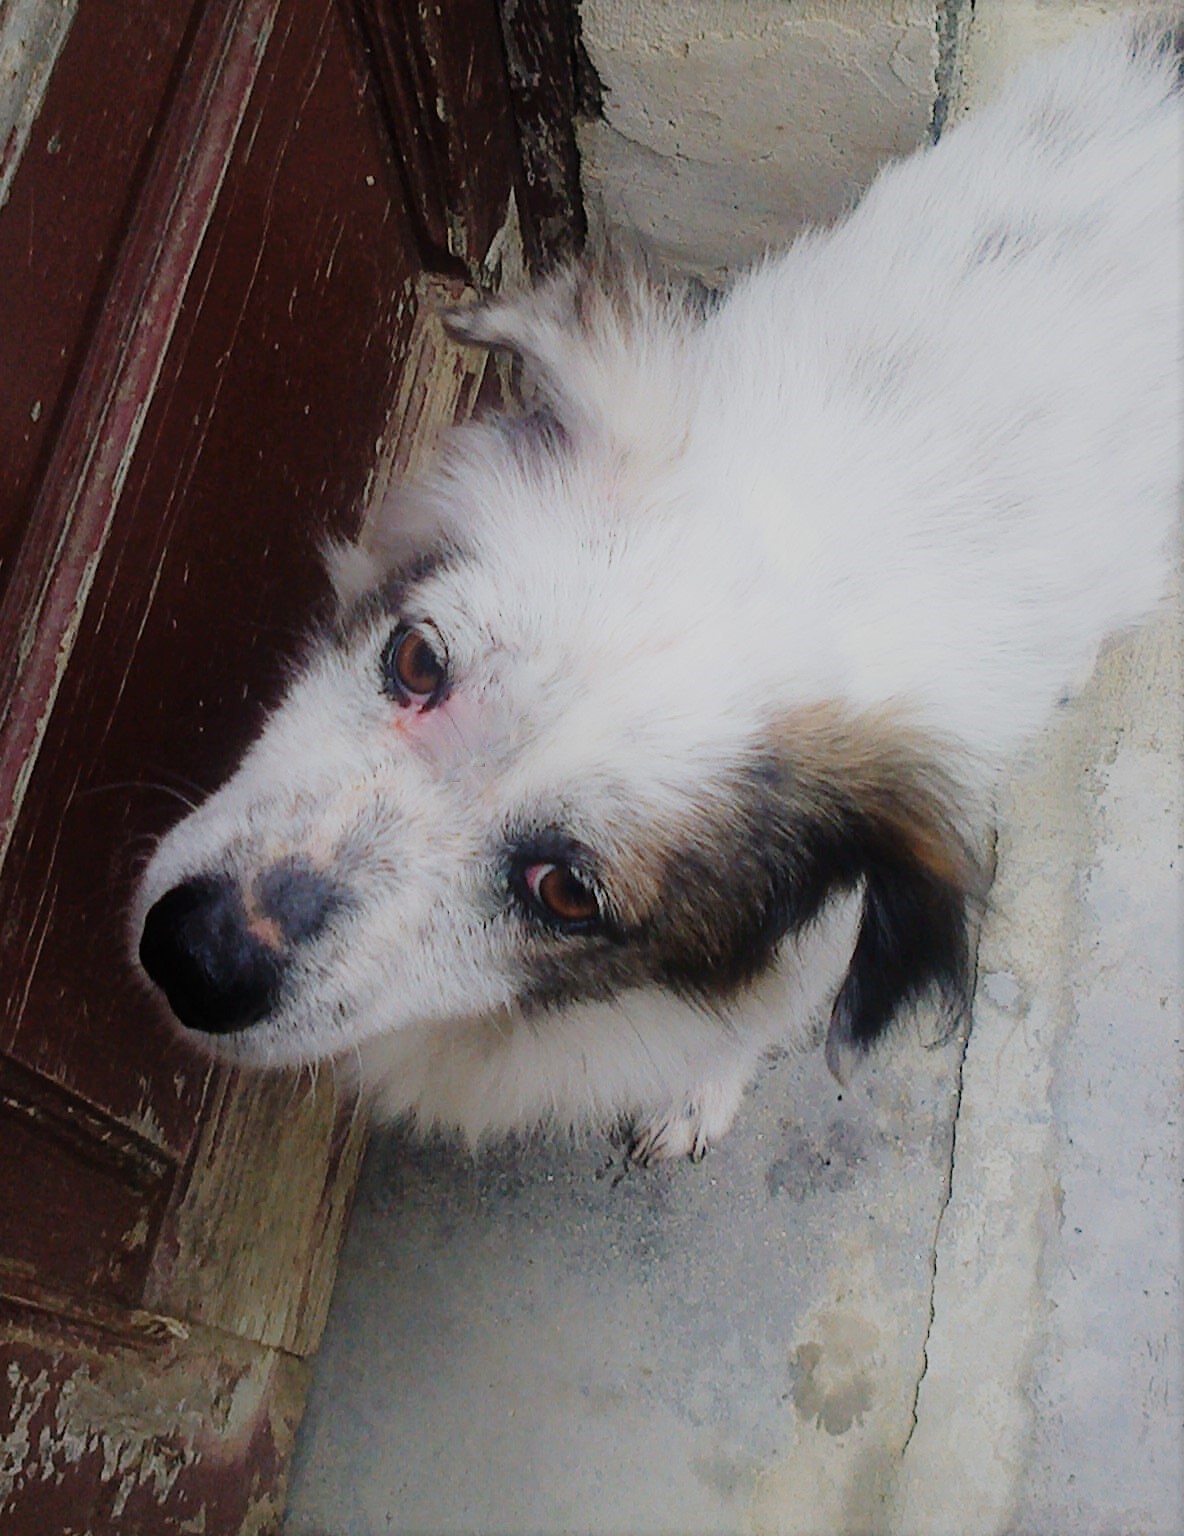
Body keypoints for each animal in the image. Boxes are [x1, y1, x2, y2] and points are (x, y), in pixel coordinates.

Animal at [135, 16, 1181, 1162]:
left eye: (567, 894)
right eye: (413, 658)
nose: (196, 957)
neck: (813, 526)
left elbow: (751, 1022)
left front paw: (697, 1093)